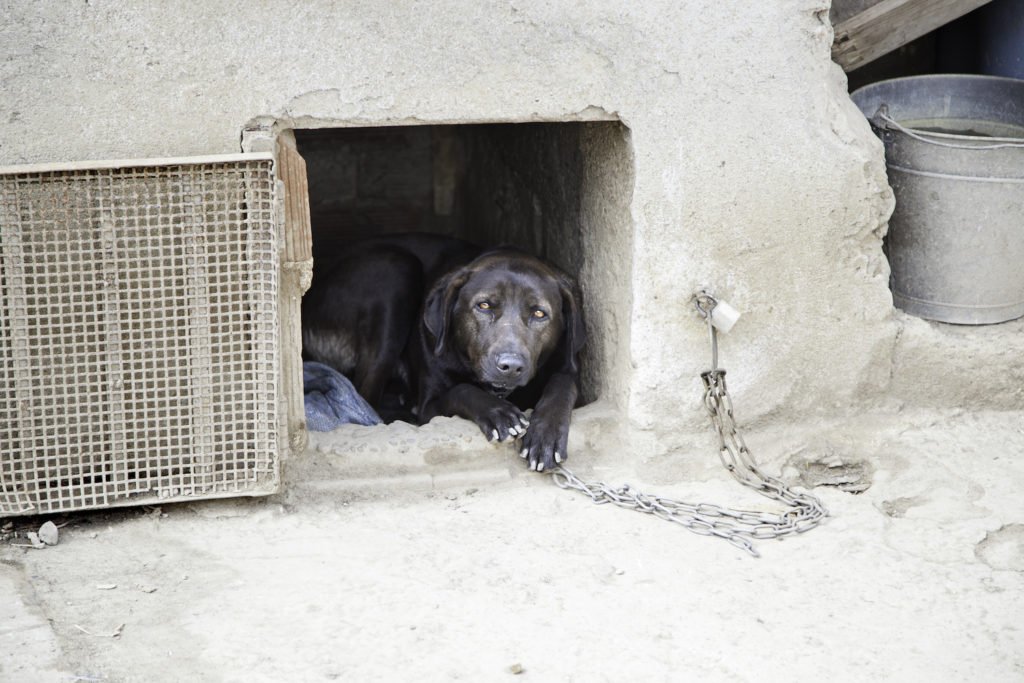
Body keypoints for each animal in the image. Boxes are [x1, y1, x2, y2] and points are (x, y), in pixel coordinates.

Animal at [299, 232, 585, 473]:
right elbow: (461, 390)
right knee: (365, 398)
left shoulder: (564, 365)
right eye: (483, 305)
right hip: (393, 270)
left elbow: (563, 384)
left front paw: (545, 434)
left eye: (539, 313)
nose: (511, 366)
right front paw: (498, 413)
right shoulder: (431, 406)